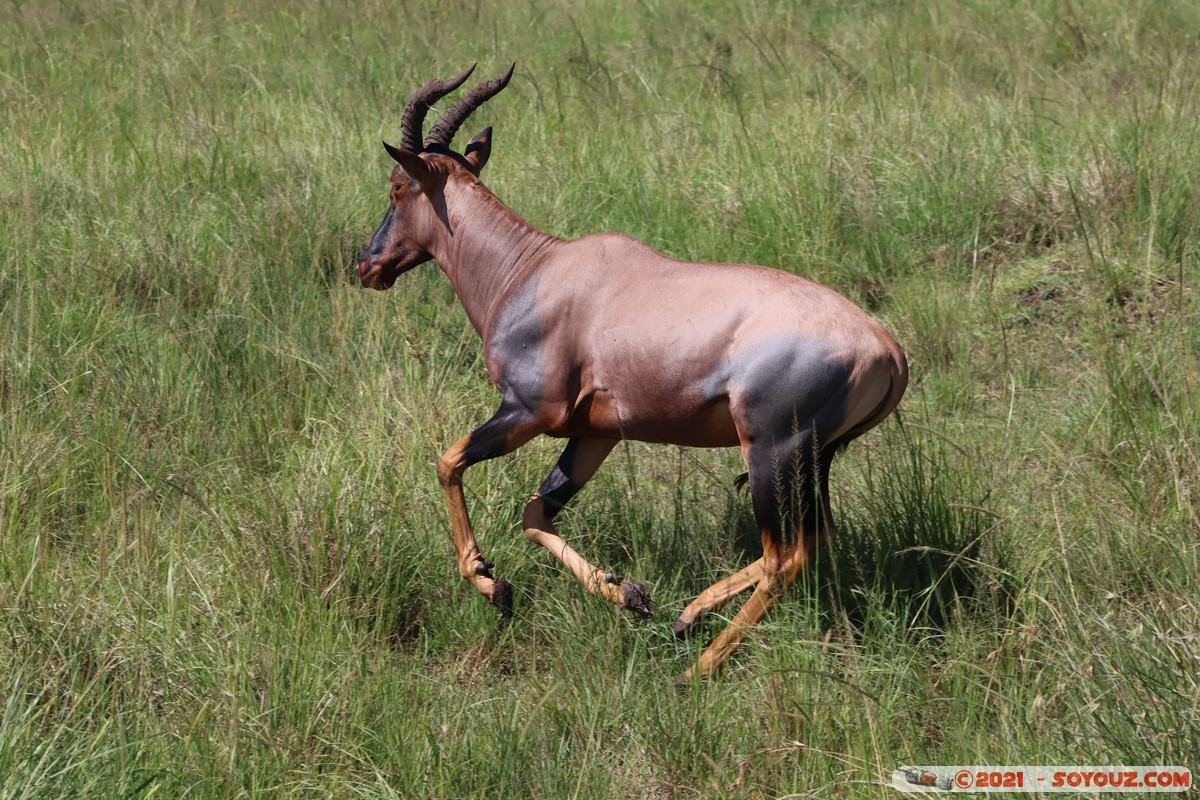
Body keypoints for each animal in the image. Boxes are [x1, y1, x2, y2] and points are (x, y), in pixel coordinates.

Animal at [355, 64, 907, 681]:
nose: (367, 265)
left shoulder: (527, 411)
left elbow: (448, 462)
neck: (536, 271)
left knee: (782, 557)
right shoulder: (598, 433)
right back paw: (687, 616)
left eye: (397, 185)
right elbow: (535, 511)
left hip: (772, 452)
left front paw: (493, 584)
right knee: (816, 540)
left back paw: (698, 667)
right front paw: (629, 594)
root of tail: (889, 349)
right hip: (816, 457)